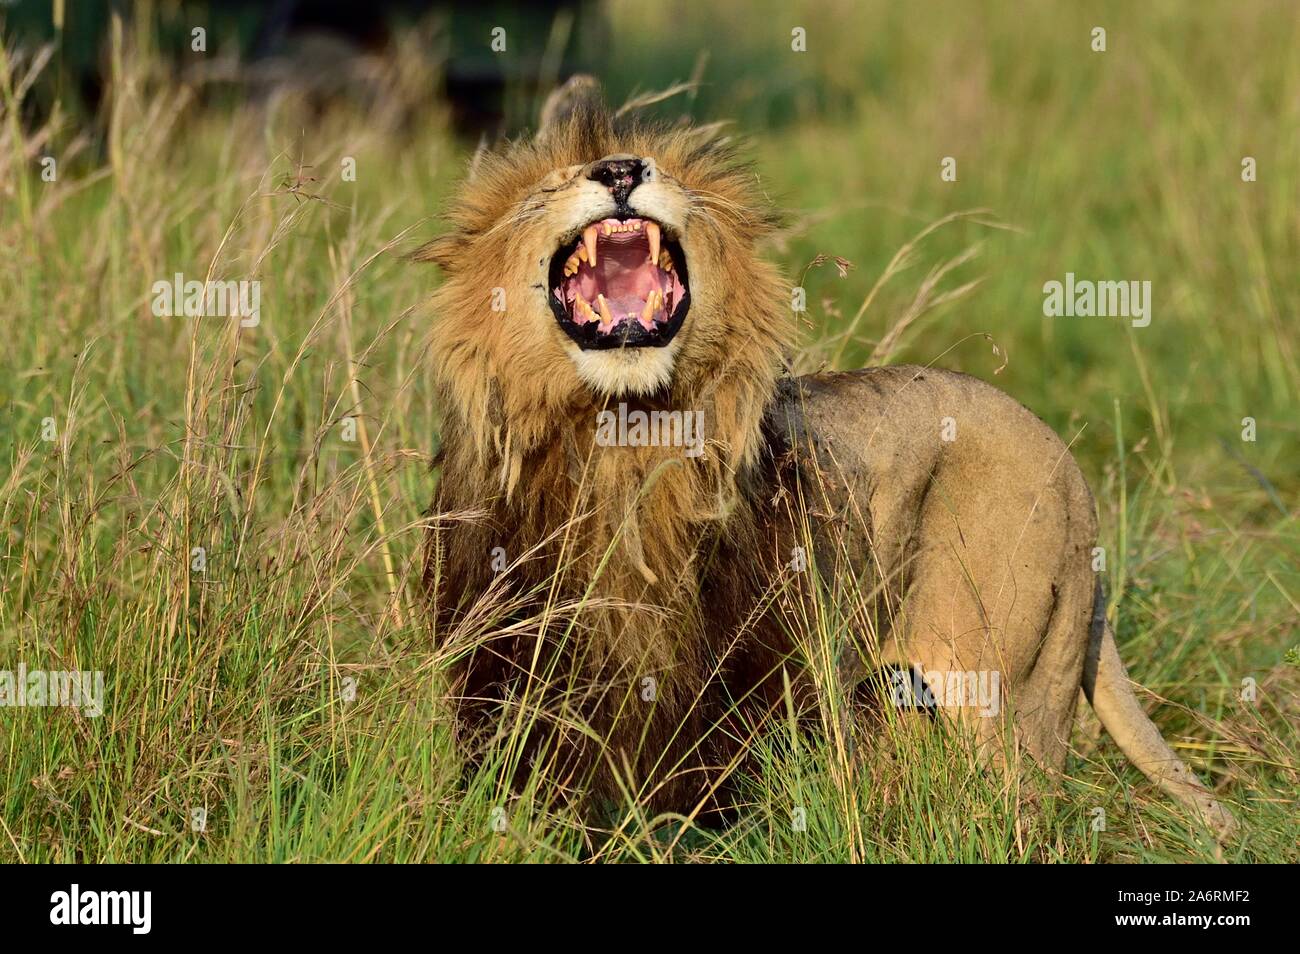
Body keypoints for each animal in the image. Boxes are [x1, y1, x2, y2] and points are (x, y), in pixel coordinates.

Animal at [418, 76, 1237, 837]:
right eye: (545, 189)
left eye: (671, 177)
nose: (621, 168)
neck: (620, 439)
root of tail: (1070, 466)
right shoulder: (504, 659)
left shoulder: (735, 670)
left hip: (1009, 691)